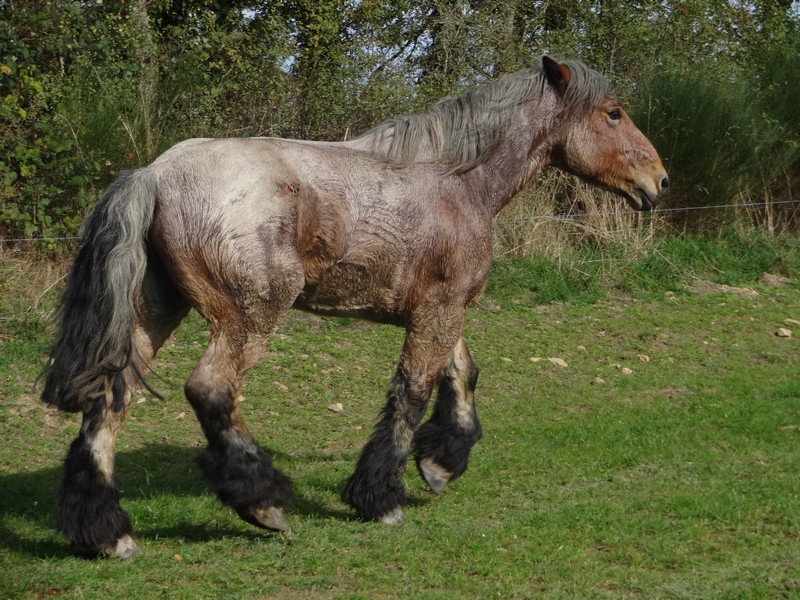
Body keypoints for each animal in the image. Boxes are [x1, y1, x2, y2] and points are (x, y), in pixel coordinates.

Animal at [40, 57, 672, 556]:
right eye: (613, 112)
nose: (659, 181)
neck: (456, 183)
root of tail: (155, 173)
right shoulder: (439, 311)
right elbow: (412, 391)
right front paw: (382, 496)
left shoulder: (442, 309)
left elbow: (461, 374)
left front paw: (441, 462)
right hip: (248, 317)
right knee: (210, 390)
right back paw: (263, 501)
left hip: (155, 315)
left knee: (108, 401)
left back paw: (105, 533)